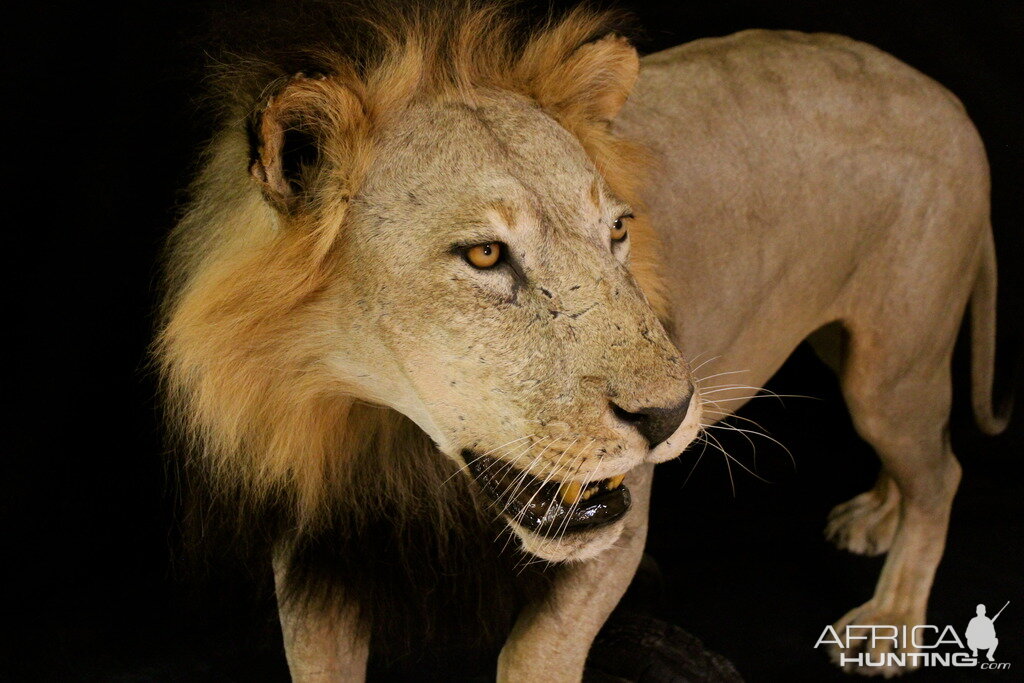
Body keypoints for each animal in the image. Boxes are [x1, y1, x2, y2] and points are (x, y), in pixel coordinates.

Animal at [155, 2, 1011, 679]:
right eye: (485, 255)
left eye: (618, 231)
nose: (669, 416)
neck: (388, 436)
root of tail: (945, 98)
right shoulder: (309, 536)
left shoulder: (618, 521)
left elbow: (535, 652)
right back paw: (878, 513)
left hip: (891, 364)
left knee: (943, 469)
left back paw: (893, 618)